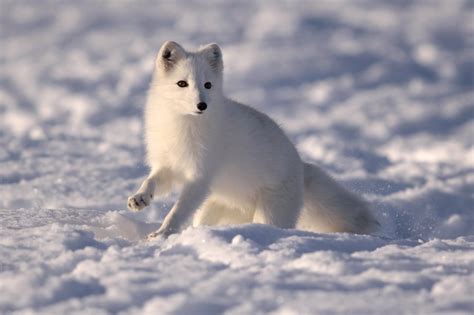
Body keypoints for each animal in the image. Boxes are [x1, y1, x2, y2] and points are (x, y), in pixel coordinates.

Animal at [127, 42, 378, 239]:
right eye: (182, 83)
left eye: (208, 85)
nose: (202, 105)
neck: (181, 126)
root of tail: (300, 167)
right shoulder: (167, 164)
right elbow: (152, 181)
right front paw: (139, 198)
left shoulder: (200, 177)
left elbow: (178, 210)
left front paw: (162, 233)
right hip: (214, 207)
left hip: (270, 212)